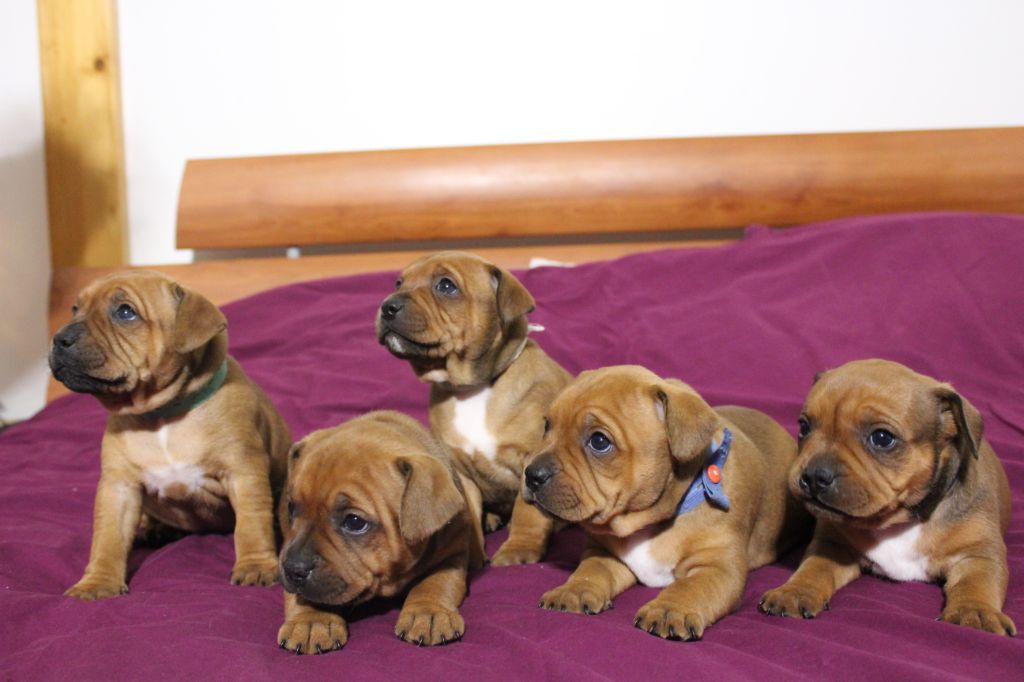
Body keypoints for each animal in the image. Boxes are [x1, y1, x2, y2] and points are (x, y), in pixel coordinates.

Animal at [51, 268, 292, 598]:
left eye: (125, 312)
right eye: (75, 309)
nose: (59, 338)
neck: (161, 418)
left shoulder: (243, 473)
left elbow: (251, 524)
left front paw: (255, 566)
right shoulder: (118, 487)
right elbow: (108, 538)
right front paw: (98, 583)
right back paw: (157, 530)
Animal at [278, 405, 485, 651]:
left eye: (354, 522)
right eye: (291, 508)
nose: (293, 569)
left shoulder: (452, 555)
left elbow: (434, 582)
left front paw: (428, 613)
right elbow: (307, 595)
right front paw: (311, 621)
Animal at [376, 249, 573, 561]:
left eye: (446, 286)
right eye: (398, 283)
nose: (387, 306)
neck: (471, 390)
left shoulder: (531, 461)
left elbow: (527, 512)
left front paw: (519, 549)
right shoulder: (461, 473)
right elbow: (468, 511)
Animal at [524, 366, 811, 638]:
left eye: (599, 441)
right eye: (546, 425)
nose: (531, 474)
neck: (647, 523)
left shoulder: (717, 567)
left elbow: (690, 586)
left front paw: (668, 610)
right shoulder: (604, 552)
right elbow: (591, 569)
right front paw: (572, 589)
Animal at [757, 358, 1011, 634]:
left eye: (881, 438)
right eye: (804, 427)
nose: (814, 476)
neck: (900, 520)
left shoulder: (979, 555)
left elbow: (976, 583)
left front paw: (973, 612)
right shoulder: (833, 544)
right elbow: (813, 568)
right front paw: (794, 591)